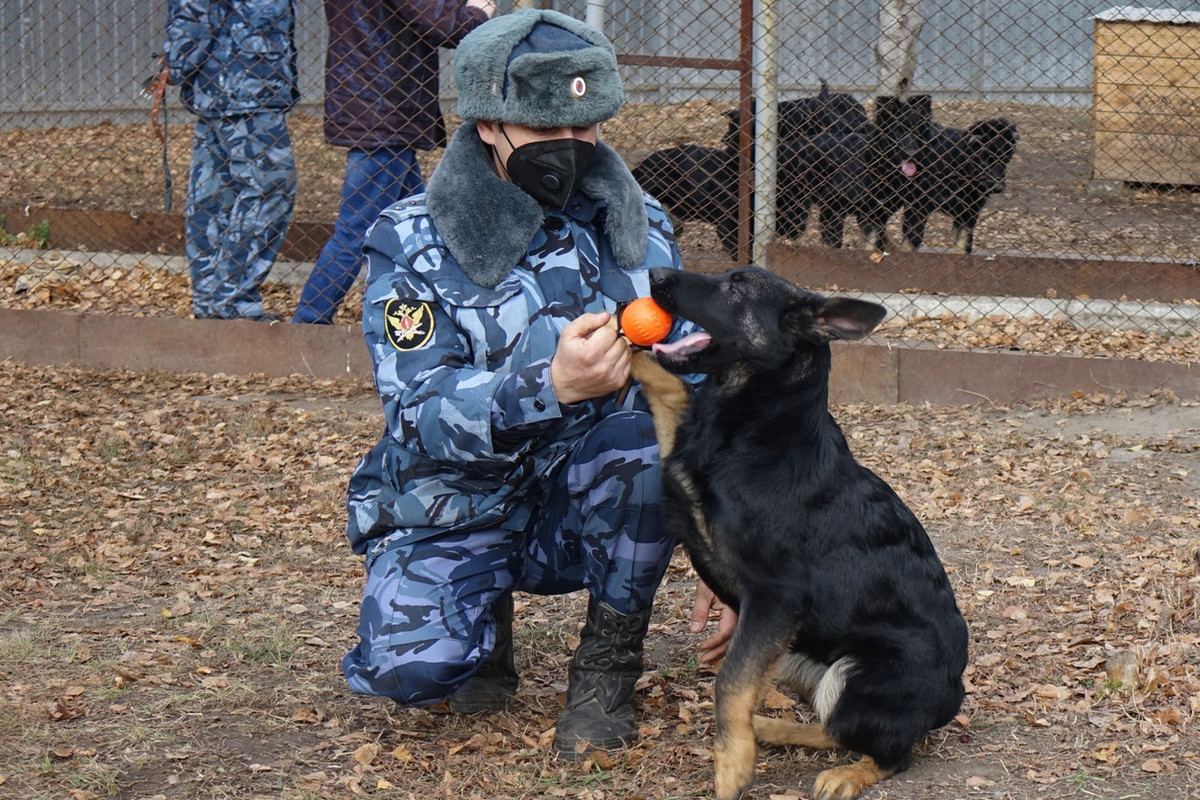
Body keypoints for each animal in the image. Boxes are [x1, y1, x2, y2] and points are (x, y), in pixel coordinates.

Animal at [633, 268, 969, 800]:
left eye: (735, 288)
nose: (654, 274)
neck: (762, 426)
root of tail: (952, 696)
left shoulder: (774, 598)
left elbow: (729, 681)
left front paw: (732, 766)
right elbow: (669, 387)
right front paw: (619, 349)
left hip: (856, 671)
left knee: (891, 752)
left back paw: (845, 774)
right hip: (797, 656)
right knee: (833, 730)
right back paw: (770, 728)